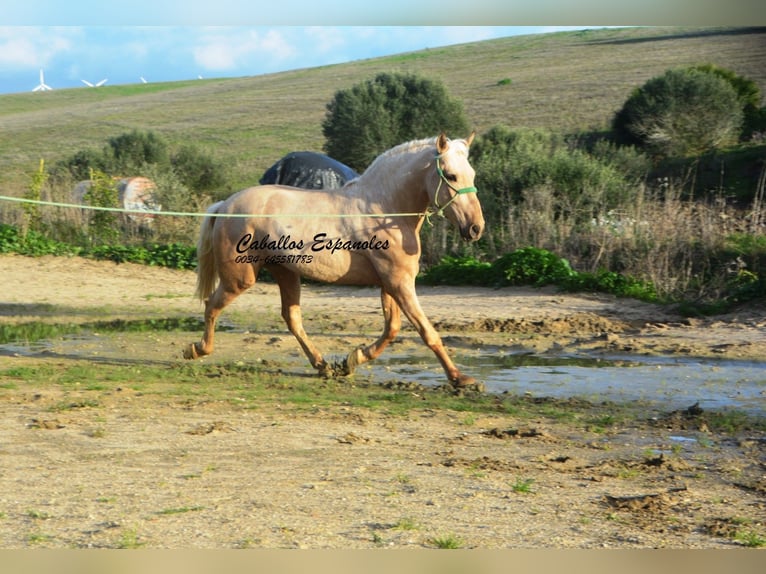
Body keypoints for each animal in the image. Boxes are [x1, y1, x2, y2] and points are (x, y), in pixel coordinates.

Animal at [183, 133, 485, 388]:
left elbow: (392, 329)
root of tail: (225, 206)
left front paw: (352, 360)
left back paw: (323, 366)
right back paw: (196, 349)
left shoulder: (390, 283)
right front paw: (461, 379)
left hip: (285, 273)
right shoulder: (399, 282)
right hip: (240, 279)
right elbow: (427, 331)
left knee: (292, 318)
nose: (475, 228)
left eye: (472, 174)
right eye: (451, 175)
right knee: (211, 305)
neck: (383, 209)